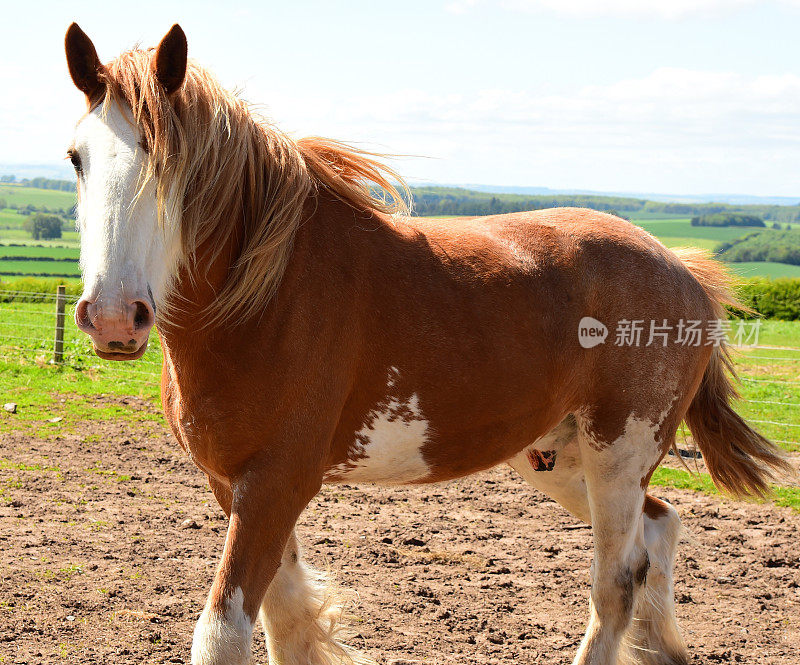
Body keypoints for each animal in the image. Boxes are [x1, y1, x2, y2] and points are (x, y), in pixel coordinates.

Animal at [65, 22, 792, 664]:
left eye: (169, 159)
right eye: (77, 158)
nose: (113, 318)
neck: (265, 297)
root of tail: (682, 269)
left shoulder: (274, 483)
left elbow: (224, 634)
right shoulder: (236, 487)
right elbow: (288, 620)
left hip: (619, 452)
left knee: (616, 581)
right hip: (559, 457)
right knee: (659, 530)